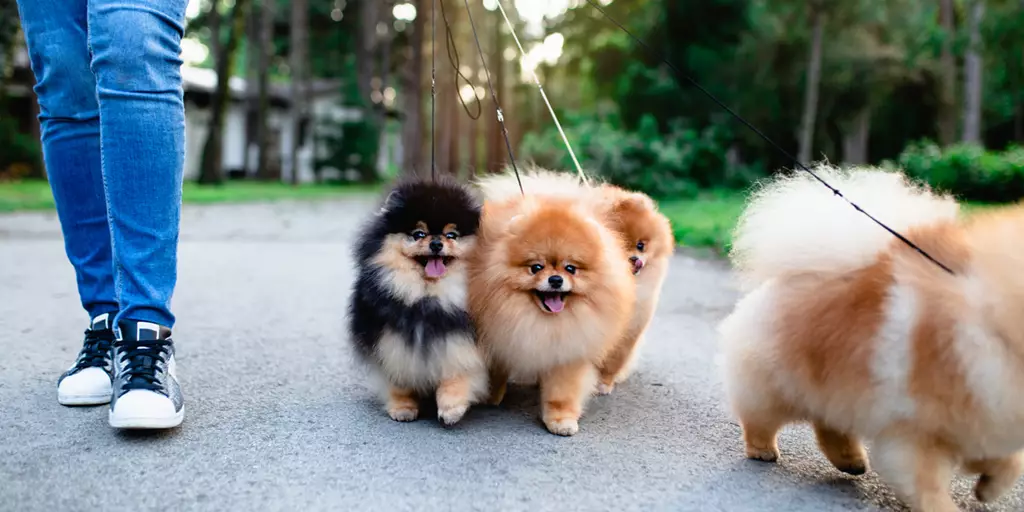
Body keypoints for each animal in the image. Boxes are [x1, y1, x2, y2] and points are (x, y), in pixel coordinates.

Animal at [716, 165, 1024, 509]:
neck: (993, 323)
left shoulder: (982, 426)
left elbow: (1010, 462)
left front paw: (989, 489)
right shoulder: (915, 433)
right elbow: (928, 486)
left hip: (836, 390)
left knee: (828, 425)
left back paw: (850, 460)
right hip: (776, 386)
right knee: (759, 417)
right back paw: (763, 450)